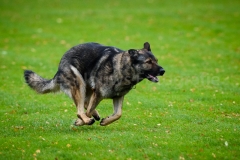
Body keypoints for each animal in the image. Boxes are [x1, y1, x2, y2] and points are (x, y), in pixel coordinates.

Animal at [24, 42, 165, 126]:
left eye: (156, 61)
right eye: (148, 62)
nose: (163, 71)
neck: (121, 68)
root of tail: (59, 67)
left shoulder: (118, 96)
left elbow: (118, 114)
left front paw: (106, 121)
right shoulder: (98, 94)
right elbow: (88, 111)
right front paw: (80, 122)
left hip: (87, 88)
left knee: (84, 104)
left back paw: (95, 115)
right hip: (79, 85)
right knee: (81, 109)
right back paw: (85, 120)